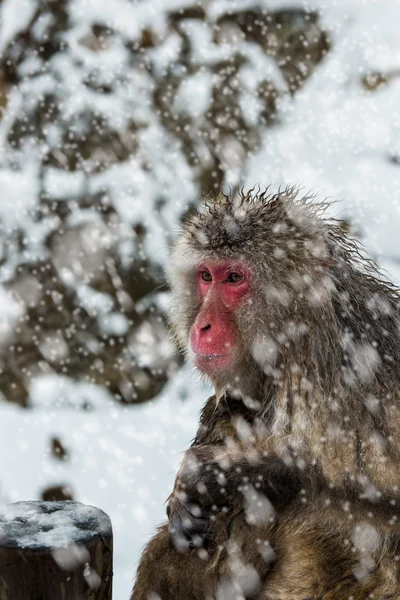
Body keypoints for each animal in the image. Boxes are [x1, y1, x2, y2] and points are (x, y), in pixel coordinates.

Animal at [130, 190, 400, 600]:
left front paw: (216, 477)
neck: (300, 346)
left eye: (234, 278)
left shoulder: (356, 384)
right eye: (206, 276)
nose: (202, 326)